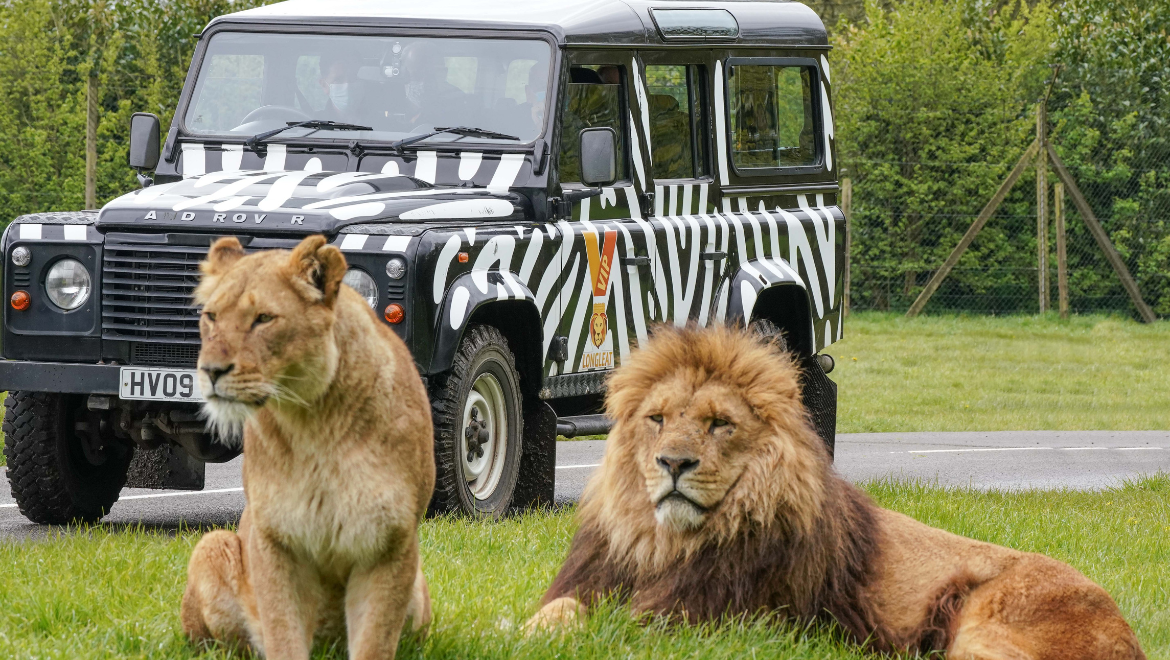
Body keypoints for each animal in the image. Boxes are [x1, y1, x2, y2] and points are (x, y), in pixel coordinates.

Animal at [180, 235, 435, 659]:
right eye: (212, 316)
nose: (211, 371)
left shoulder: (390, 545)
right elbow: (283, 634)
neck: (313, 423)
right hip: (212, 546)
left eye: (263, 319)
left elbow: (375, 641)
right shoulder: (275, 542)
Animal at [527, 326, 1145, 659]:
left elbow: (610, 627)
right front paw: (523, 628)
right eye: (656, 419)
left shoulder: (704, 621)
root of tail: (1127, 631)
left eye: (720, 424)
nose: (673, 463)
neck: (664, 544)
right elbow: (559, 607)